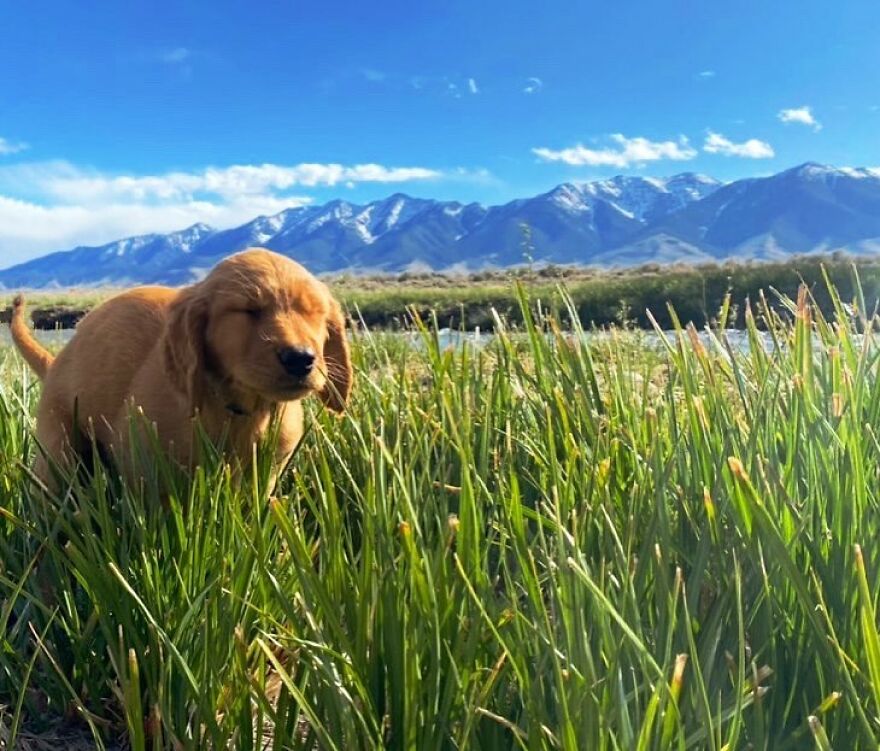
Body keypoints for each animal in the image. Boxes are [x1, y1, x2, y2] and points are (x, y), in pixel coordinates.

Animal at [11, 250, 350, 490]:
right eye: (248, 311)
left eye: (313, 312)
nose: (301, 359)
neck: (242, 410)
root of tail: (56, 363)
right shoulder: (144, 463)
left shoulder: (267, 473)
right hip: (58, 446)